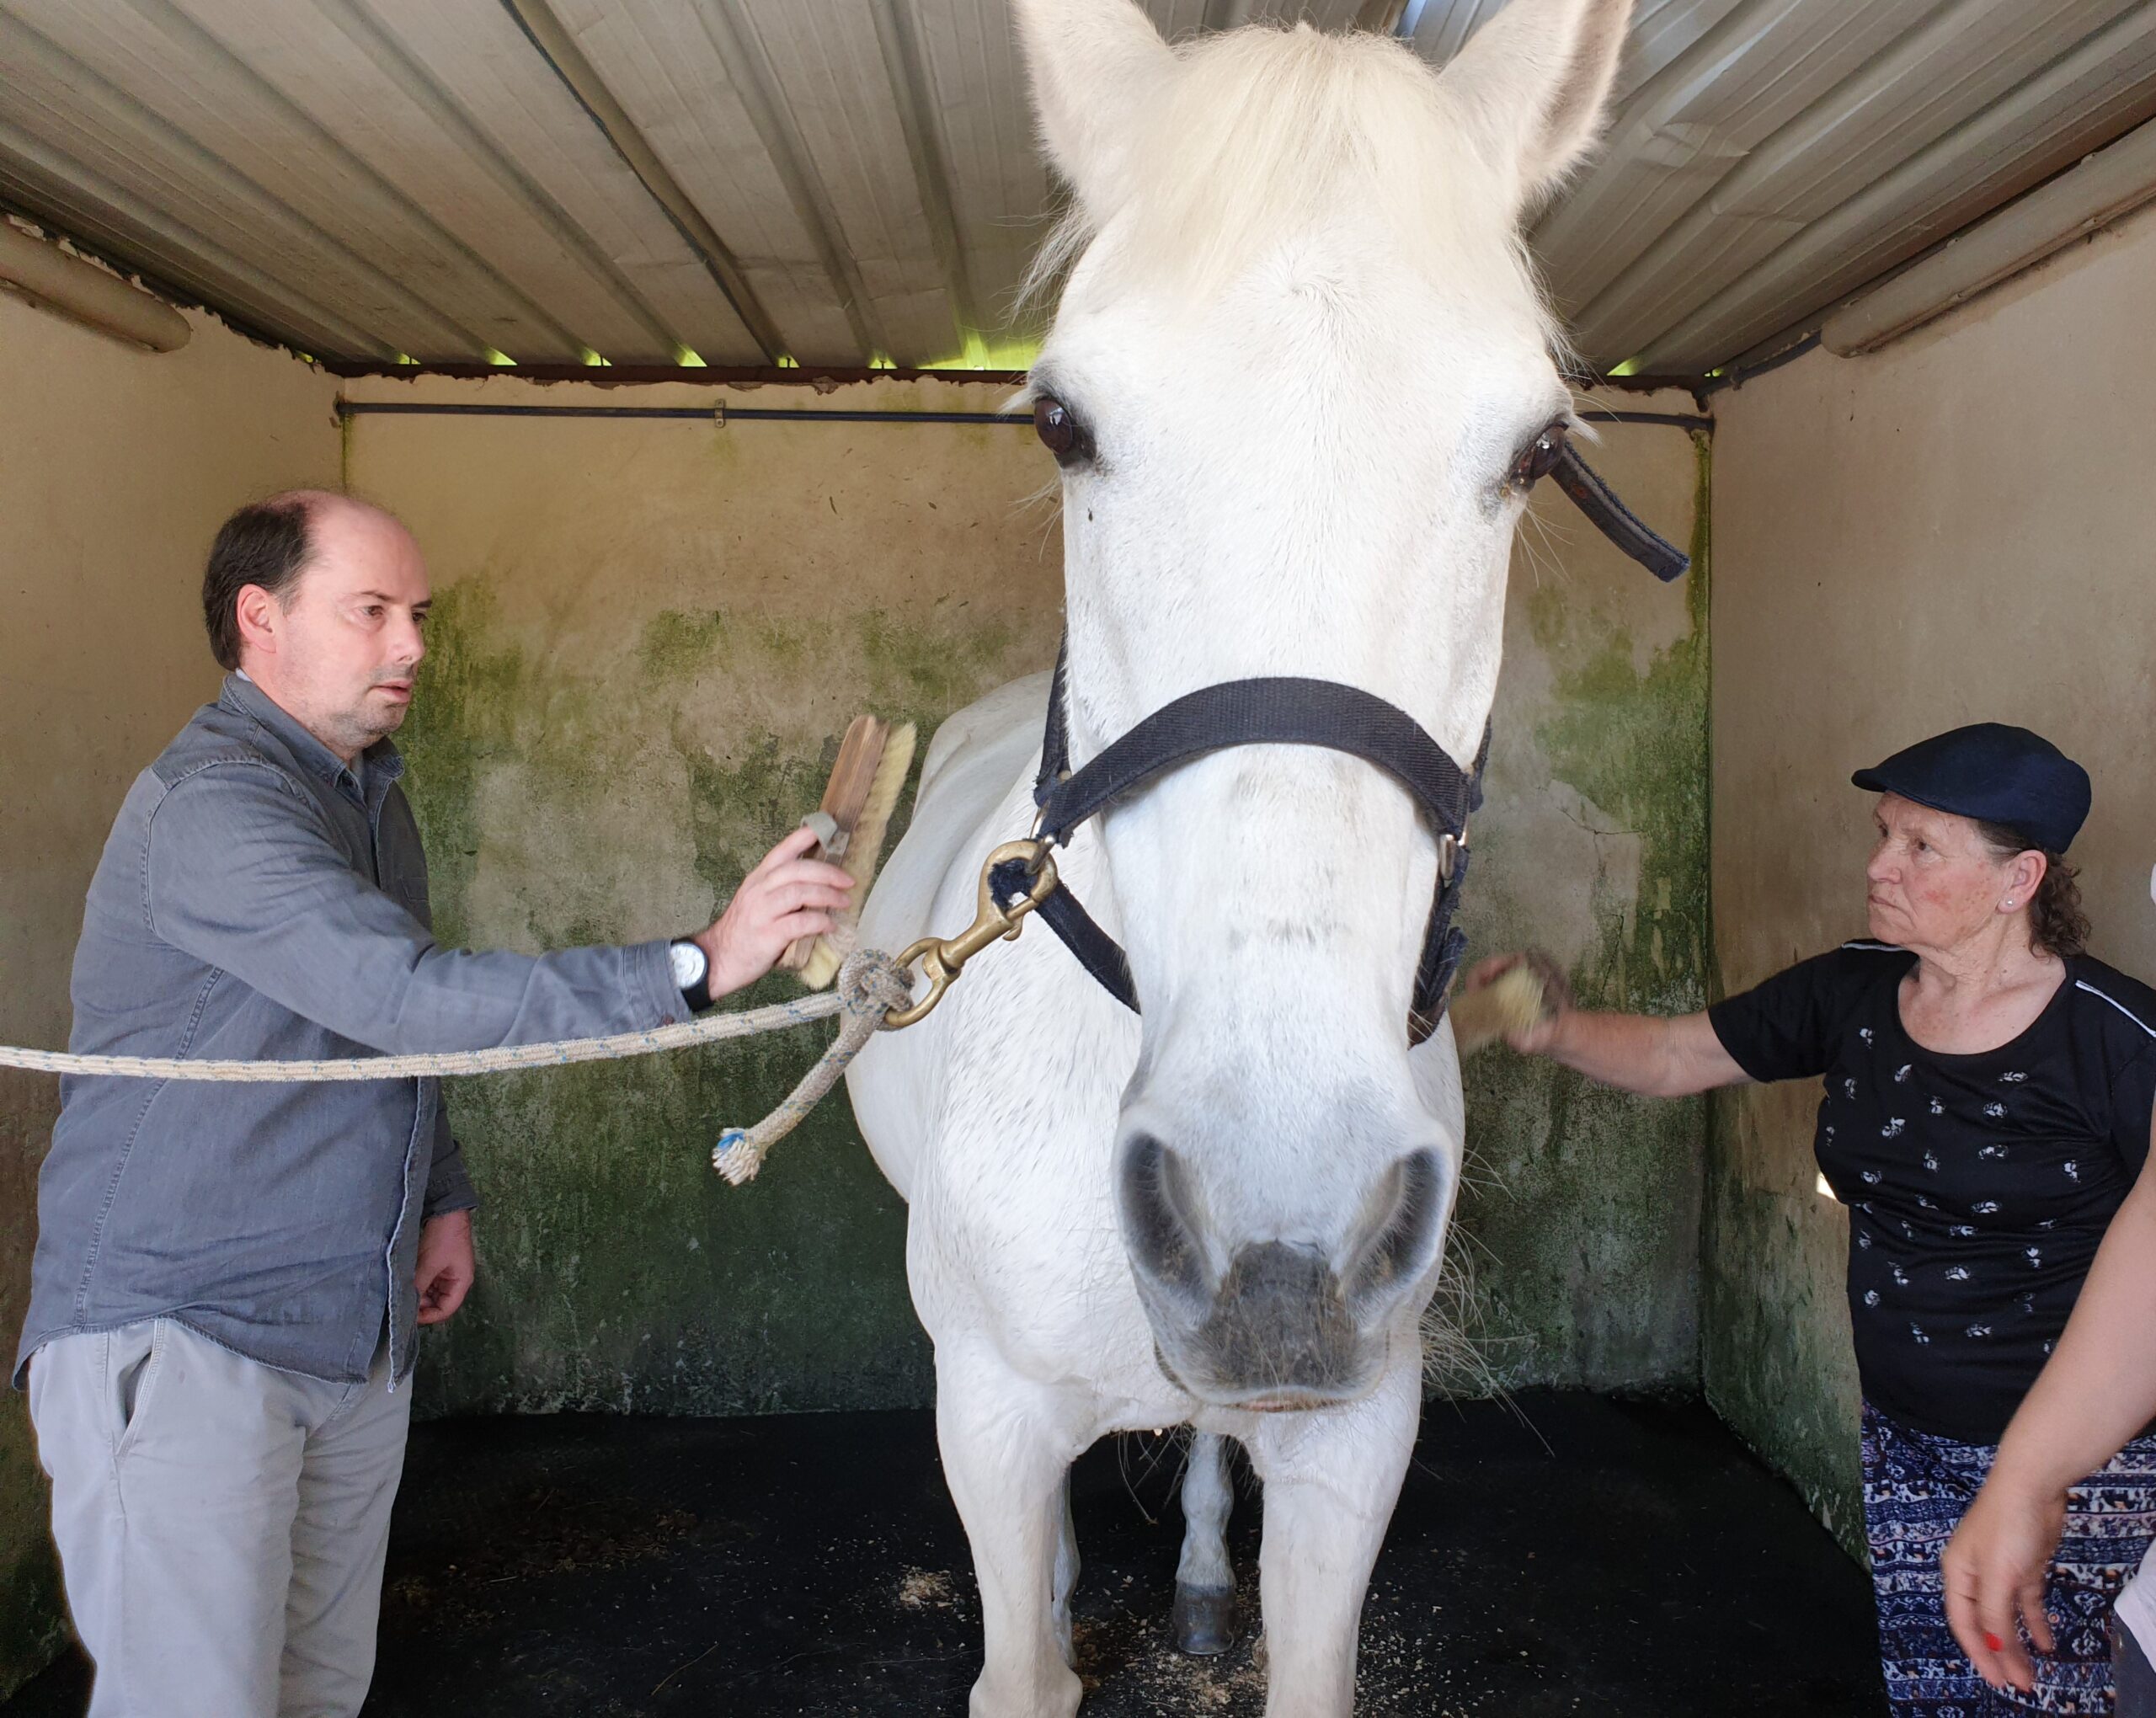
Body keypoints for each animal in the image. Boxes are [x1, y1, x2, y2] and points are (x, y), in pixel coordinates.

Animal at [841, 6, 1630, 1707]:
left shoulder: (1356, 1440)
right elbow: (1022, 1662)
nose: (1280, 1237)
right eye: (1063, 424)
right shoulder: (987, 1415)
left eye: (1537, 451)